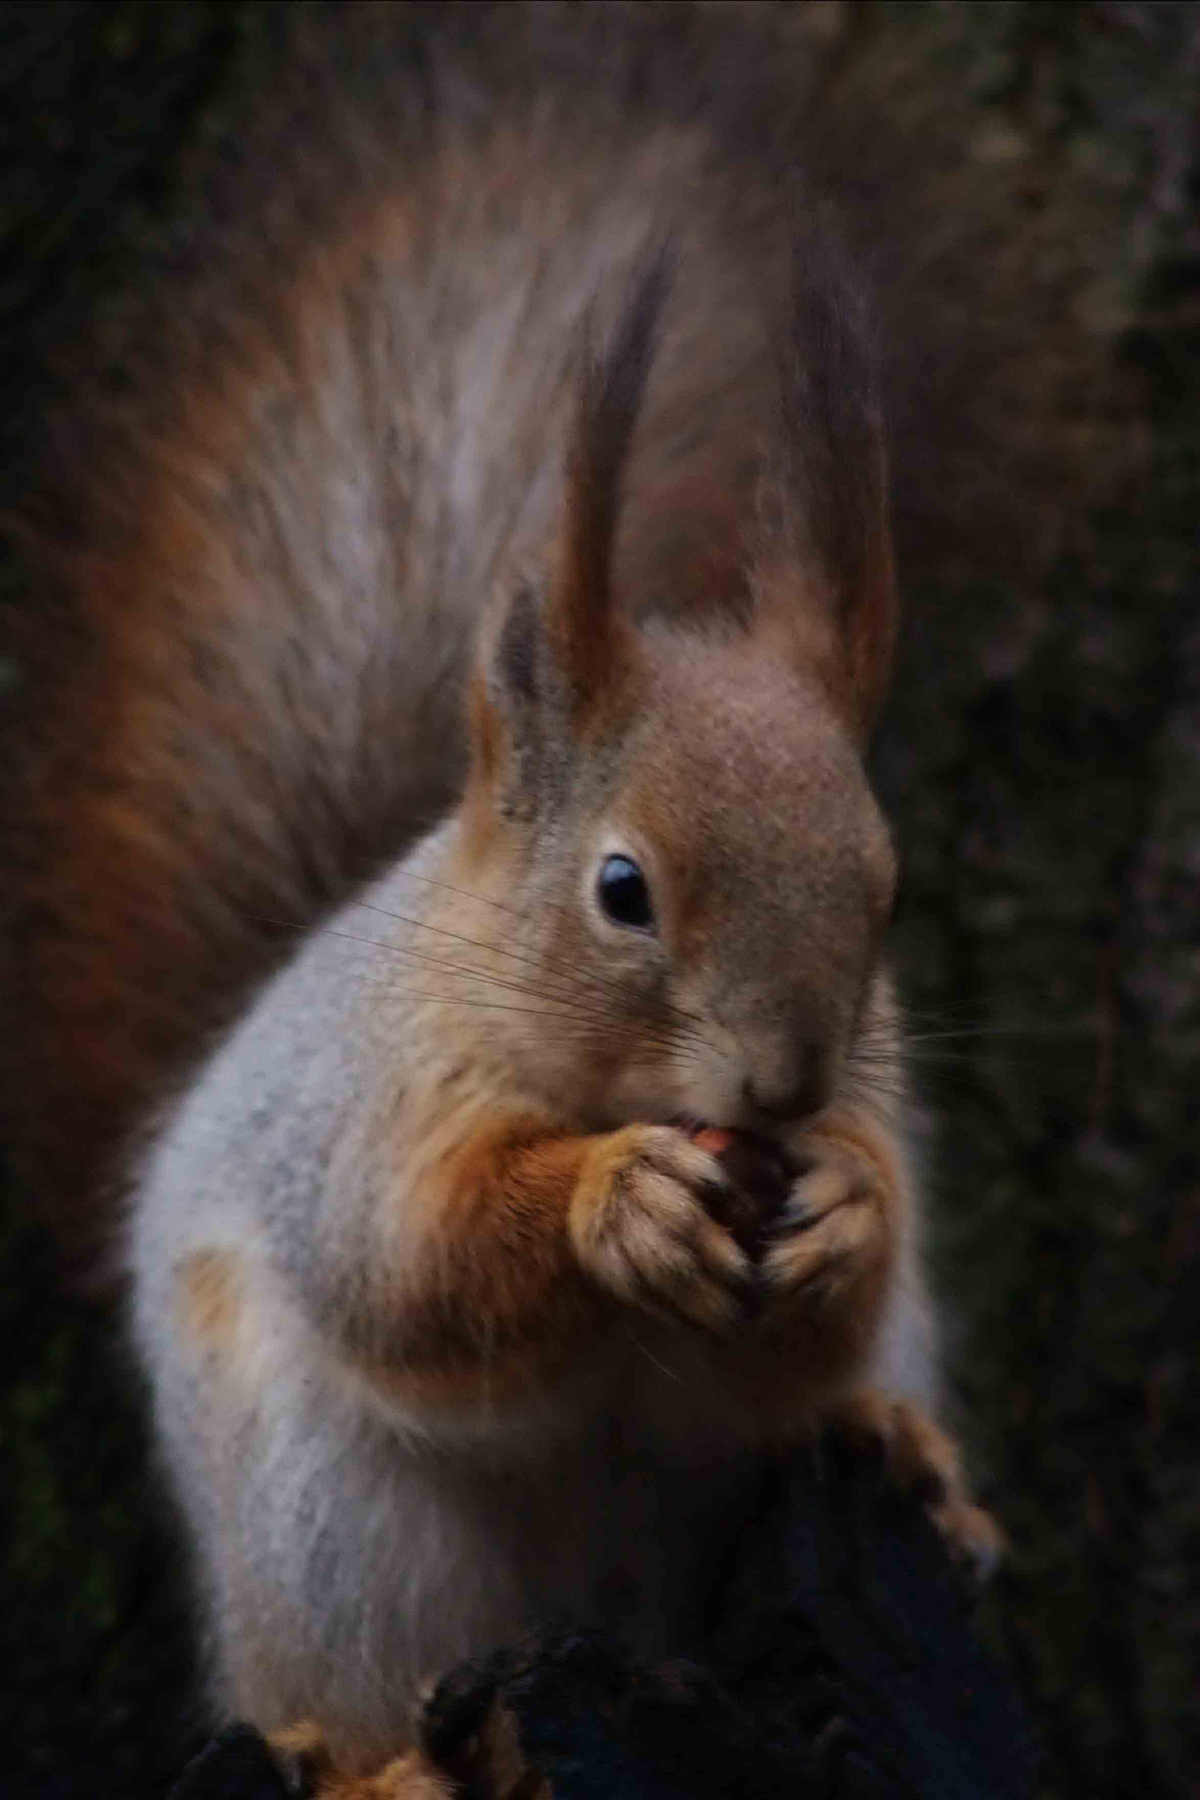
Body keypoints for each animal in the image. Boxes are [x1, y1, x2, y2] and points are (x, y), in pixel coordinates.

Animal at [5, 4, 1124, 1791]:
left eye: (886, 894)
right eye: (621, 889)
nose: (783, 1085)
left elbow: (826, 1299)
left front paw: (845, 1208)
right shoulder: (369, 1109)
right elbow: (413, 1268)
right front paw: (613, 1202)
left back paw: (907, 1448)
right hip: (345, 1542)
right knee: (349, 1682)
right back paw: (374, 1758)